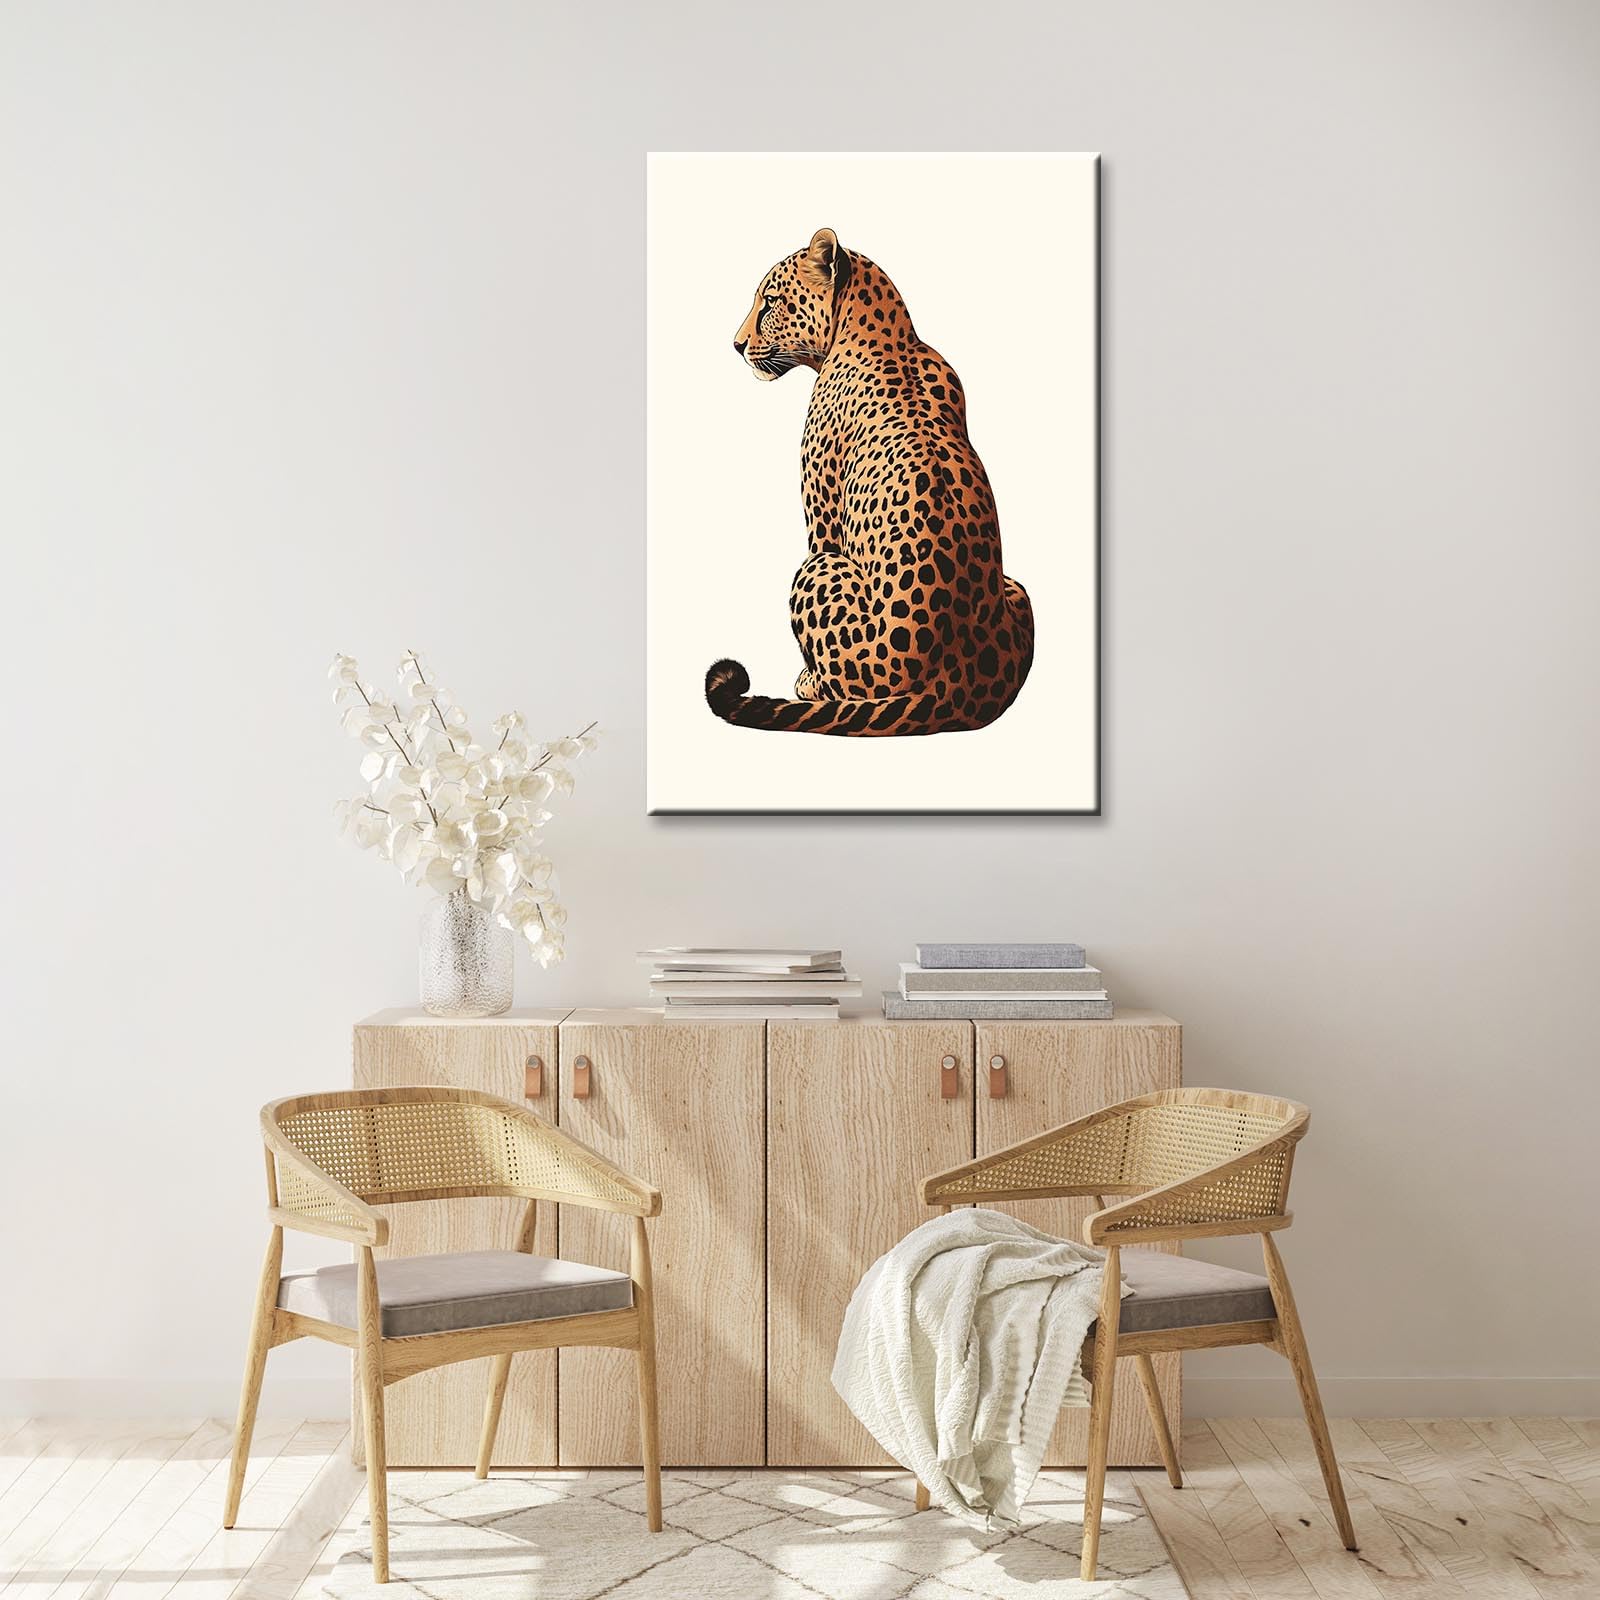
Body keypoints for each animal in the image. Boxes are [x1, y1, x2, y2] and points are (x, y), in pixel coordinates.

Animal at [705, 226, 1034, 736]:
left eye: (771, 302)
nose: (736, 345)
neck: (886, 332)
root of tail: (954, 687)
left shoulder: (822, 523)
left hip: (817, 572)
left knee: (842, 687)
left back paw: (809, 683)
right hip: (1016, 587)